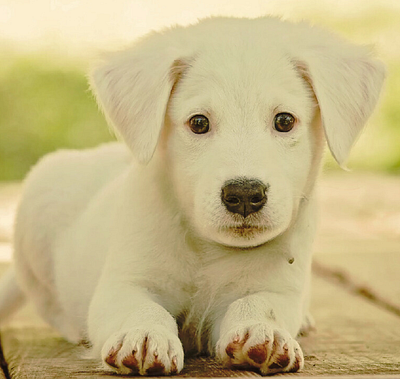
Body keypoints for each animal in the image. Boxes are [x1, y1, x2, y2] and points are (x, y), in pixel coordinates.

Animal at [0, 16, 384, 376]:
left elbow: (260, 304)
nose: (244, 194)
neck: (208, 250)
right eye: (199, 123)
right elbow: (141, 308)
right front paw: (143, 335)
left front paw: (264, 332)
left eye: (285, 121)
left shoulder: (278, 287)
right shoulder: (123, 283)